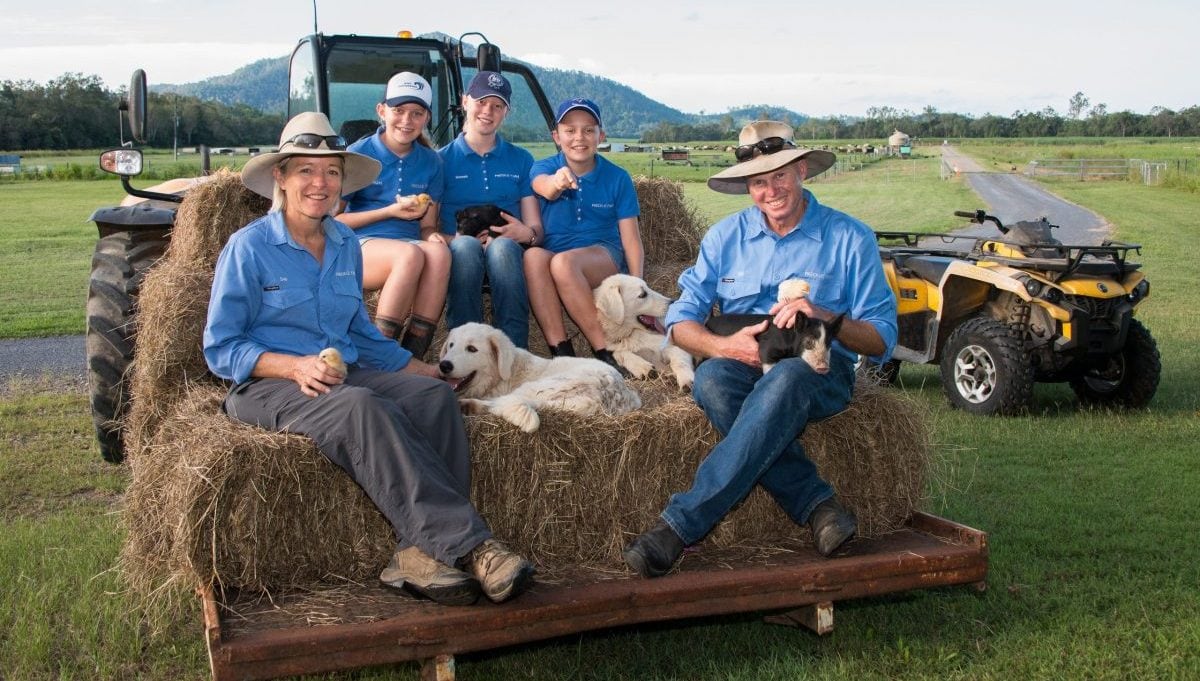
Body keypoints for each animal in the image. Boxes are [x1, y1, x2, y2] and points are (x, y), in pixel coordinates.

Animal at [700, 311, 844, 374]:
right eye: (808, 342)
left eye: (829, 343)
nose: (824, 368)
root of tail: (709, 320)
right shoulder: (767, 347)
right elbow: (769, 365)